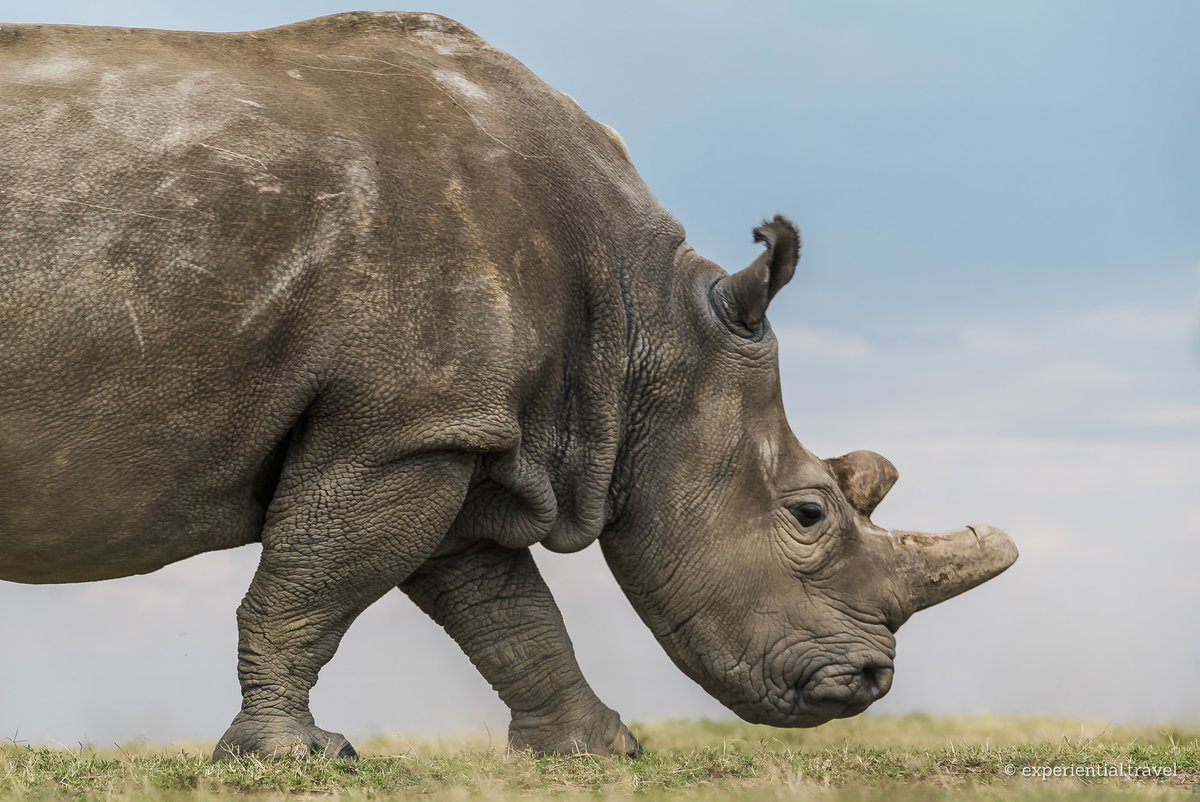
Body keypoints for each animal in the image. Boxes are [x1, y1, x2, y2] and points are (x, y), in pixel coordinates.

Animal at [0, 11, 1017, 759]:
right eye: (809, 513)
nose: (871, 682)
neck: (646, 323)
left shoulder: (453, 428)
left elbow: (505, 612)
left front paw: (599, 752)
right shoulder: (406, 423)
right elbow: (309, 589)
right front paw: (295, 758)